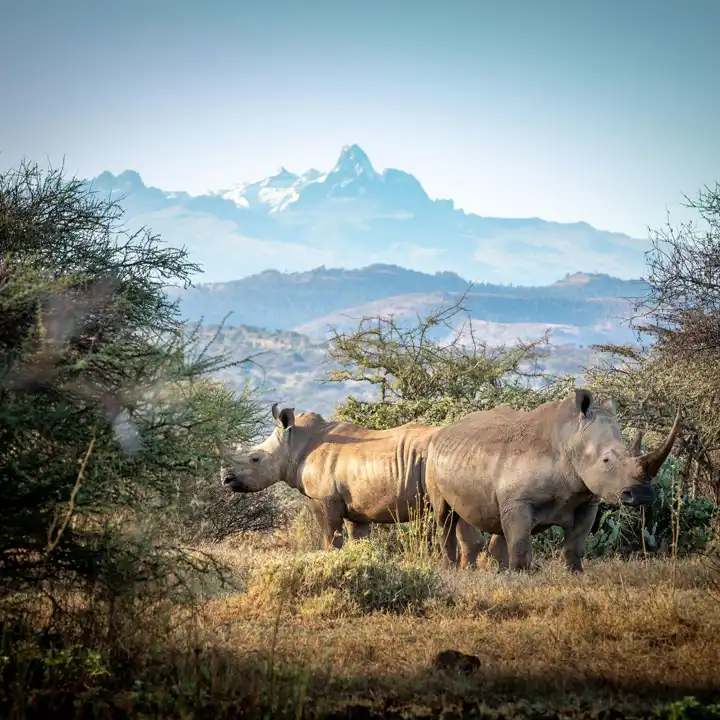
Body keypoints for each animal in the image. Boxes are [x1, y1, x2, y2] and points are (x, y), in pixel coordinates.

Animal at [217, 403, 484, 566]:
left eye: (255, 459)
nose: (225, 480)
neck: (294, 444)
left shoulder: (324, 499)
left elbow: (331, 539)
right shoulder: (359, 509)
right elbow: (358, 540)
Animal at [424, 389, 682, 572]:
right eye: (606, 460)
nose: (642, 495)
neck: (571, 438)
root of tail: (445, 430)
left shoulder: (587, 499)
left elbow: (575, 543)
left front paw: (575, 573)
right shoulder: (520, 501)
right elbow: (520, 542)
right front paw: (520, 575)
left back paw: (495, 571)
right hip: (432, 457)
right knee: (444, 516)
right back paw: (450, 570)